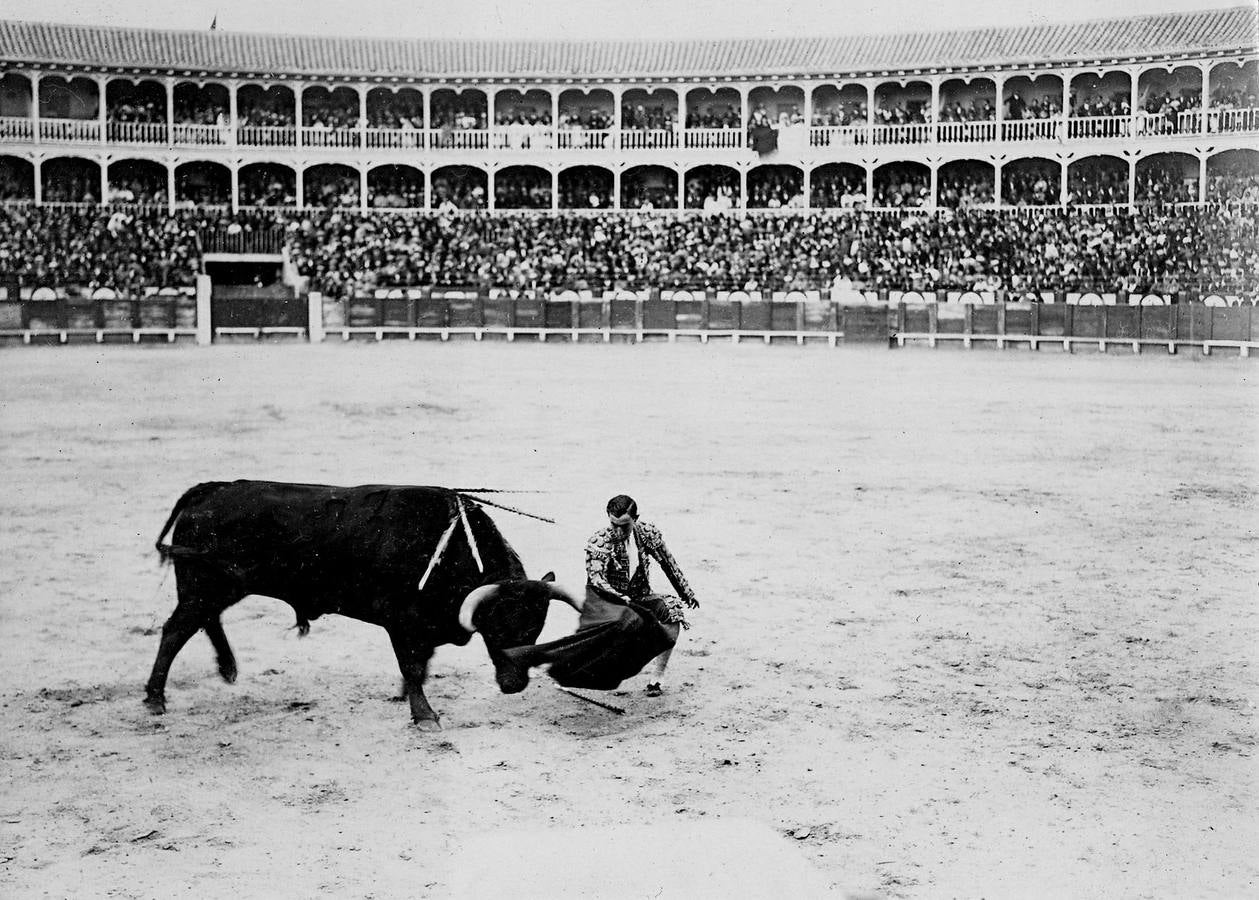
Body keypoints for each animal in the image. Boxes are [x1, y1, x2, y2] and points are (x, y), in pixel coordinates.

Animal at [142, 483, 576, 730]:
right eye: (497, 628)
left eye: (535, 627)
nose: (514, 685)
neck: (447, 549)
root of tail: (212, 490)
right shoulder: (401, 621)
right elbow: (412, 664)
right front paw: (424, 716)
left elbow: (421, 662)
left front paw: (405, 696)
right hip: (204, 585)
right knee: (176, 629)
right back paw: (156, 699)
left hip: (220, 585)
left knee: (205, 620)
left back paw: (228, 669)